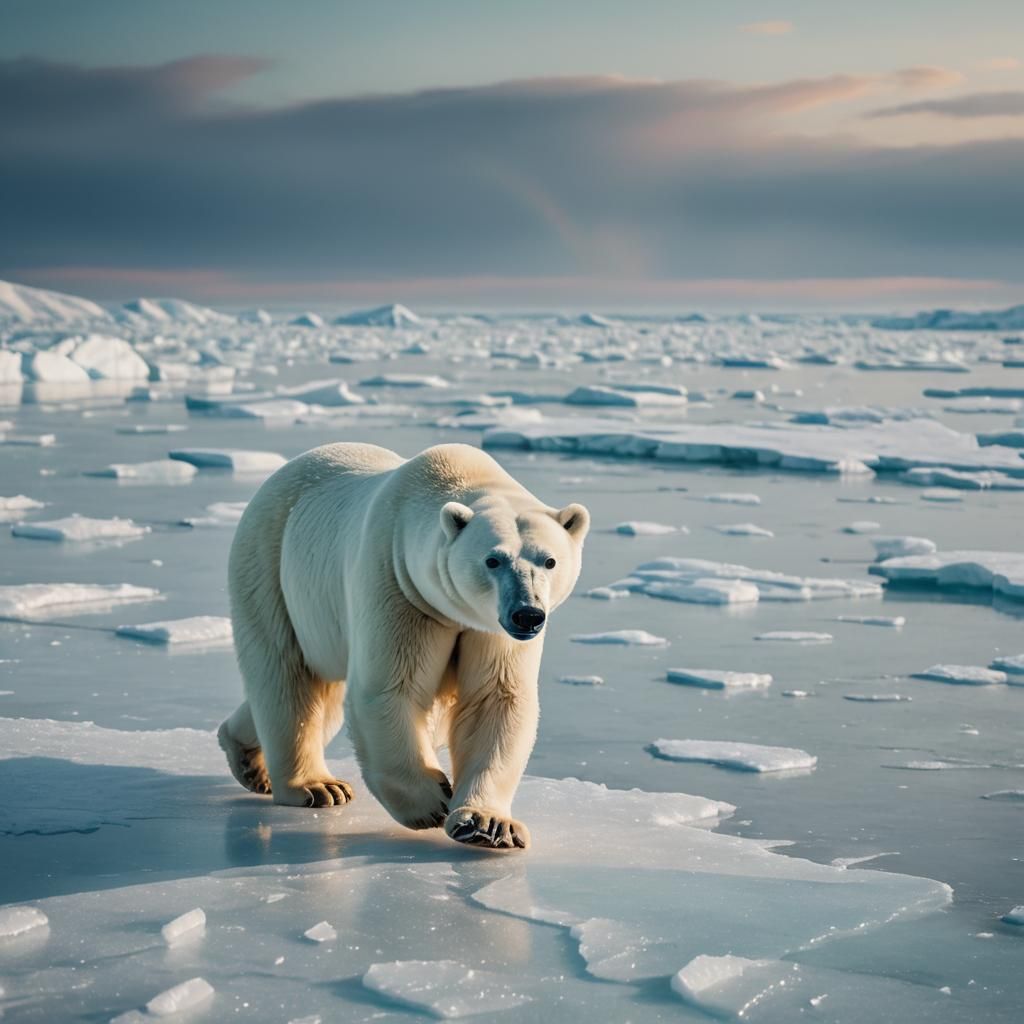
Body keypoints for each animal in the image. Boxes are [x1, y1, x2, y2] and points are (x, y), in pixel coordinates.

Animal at [218, 441, 589, 850]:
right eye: (493, 560)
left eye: (550, 561)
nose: (528, 615)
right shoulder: (398, 586)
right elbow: (389, 689)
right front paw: (432, 801)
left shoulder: (489, 630)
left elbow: (496, 698)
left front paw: (488, 825)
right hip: (271, 568)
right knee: (287, 678)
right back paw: (317, 787)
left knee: (316, 697)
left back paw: (249, 758)